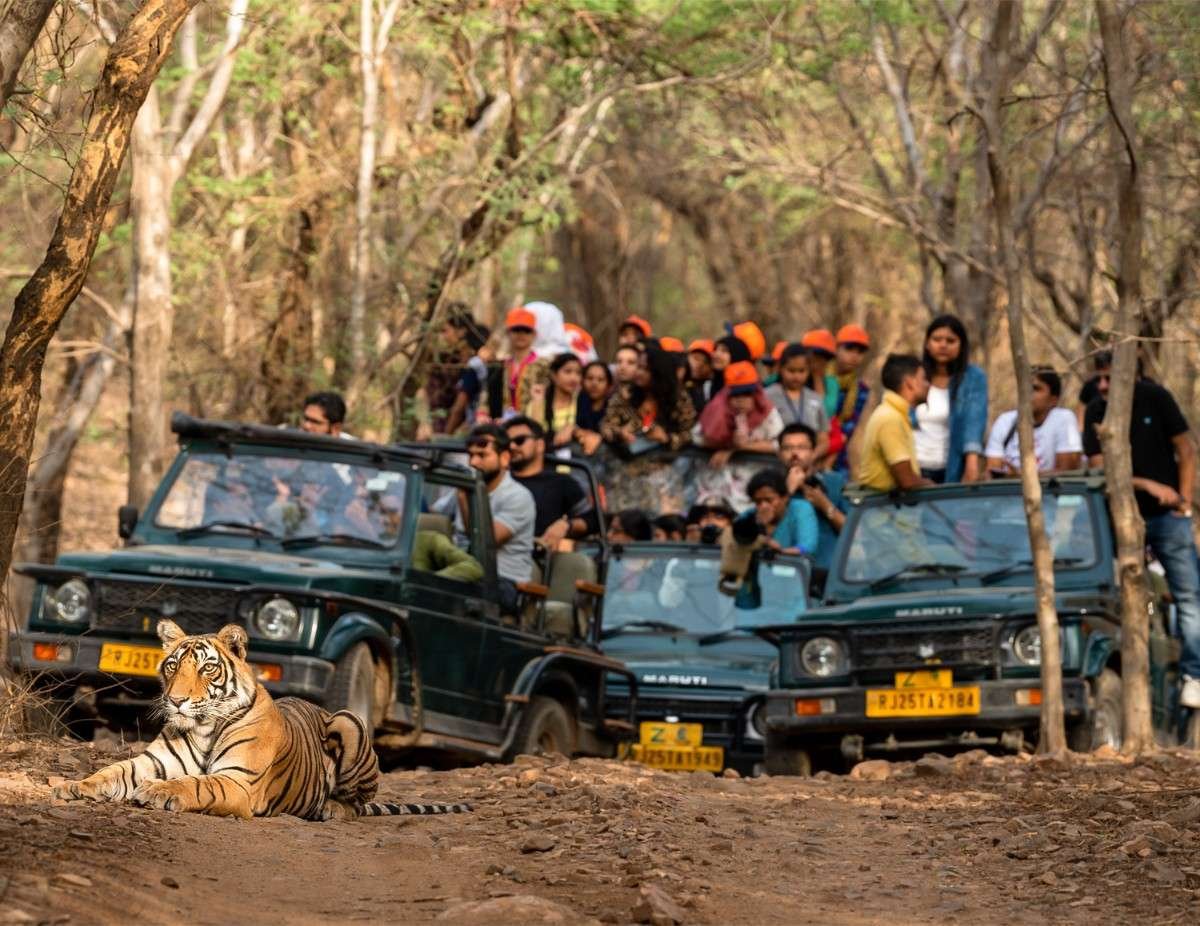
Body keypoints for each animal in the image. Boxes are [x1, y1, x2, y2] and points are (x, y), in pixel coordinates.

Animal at [52, 619, 471, 821]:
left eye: (206, 668)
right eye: (172, 666)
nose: (176, 701)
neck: (203, 726)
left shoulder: (239, 781)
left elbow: (197, 783)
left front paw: (159, 792)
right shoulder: (152, 761)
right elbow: (112, 772)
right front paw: (73, 786)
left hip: (350, 721)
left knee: (359, 802)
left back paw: (331, 809)